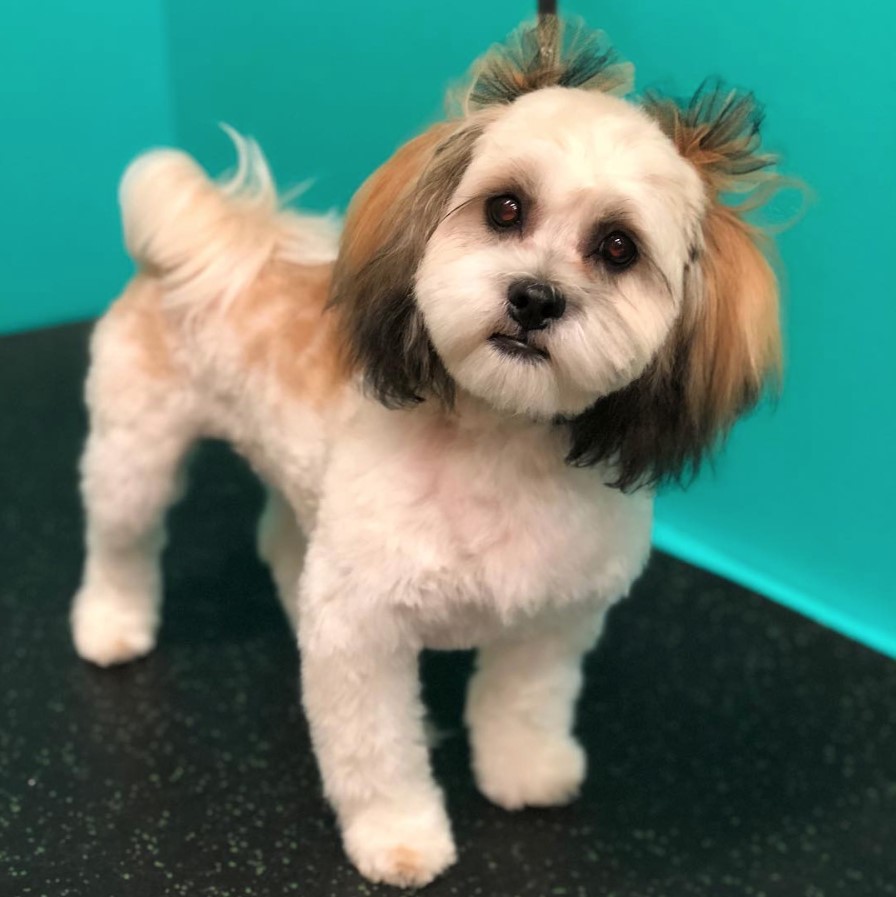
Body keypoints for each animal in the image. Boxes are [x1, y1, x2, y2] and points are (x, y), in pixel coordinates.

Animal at [70, 17, 784, 884]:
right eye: (505, 208)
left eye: (618, 248)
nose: (534, 298)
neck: (499, 444)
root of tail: (223, 234)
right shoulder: (363, 632)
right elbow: (378, 752)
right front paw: (400, 837)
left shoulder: (552, 621)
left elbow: (524, 705)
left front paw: (525, 770)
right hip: (133, 453)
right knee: (122, 539)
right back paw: (110, 623)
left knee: (280, 539)